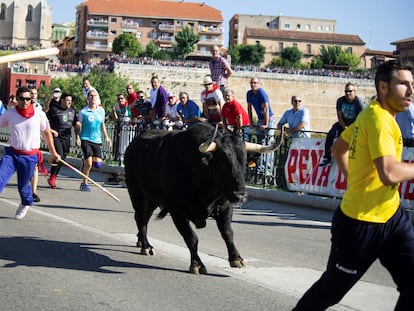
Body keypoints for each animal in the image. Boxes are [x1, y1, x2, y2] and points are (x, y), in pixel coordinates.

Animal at [123, 123, 278, 274]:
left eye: (244, 162)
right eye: (222, 164)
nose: (240, 195)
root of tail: (133, 144)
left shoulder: (225, 206)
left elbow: (228, 233)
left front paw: (236, 259)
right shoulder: (176, 210)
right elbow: (191, 238)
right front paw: (197, 265)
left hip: (152, 199)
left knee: (145, 217)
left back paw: (140, 242)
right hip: (137, 193)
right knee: (141, 218)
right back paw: (146, 246)